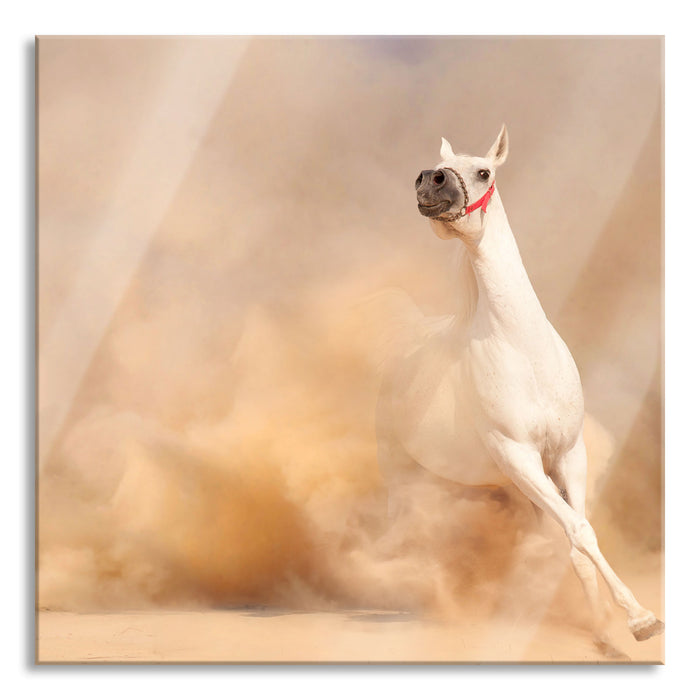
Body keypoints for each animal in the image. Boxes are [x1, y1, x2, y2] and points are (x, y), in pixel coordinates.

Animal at [375, 125, 664, 648]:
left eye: (484, 172)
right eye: (438, 167)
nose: (429, 181)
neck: (523, 349)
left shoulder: (566, 456)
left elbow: (576, 537)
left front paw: (604, 629)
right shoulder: (519, 457)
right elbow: (581, 532)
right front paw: (639, 620)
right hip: (404, 475)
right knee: (406, 536)